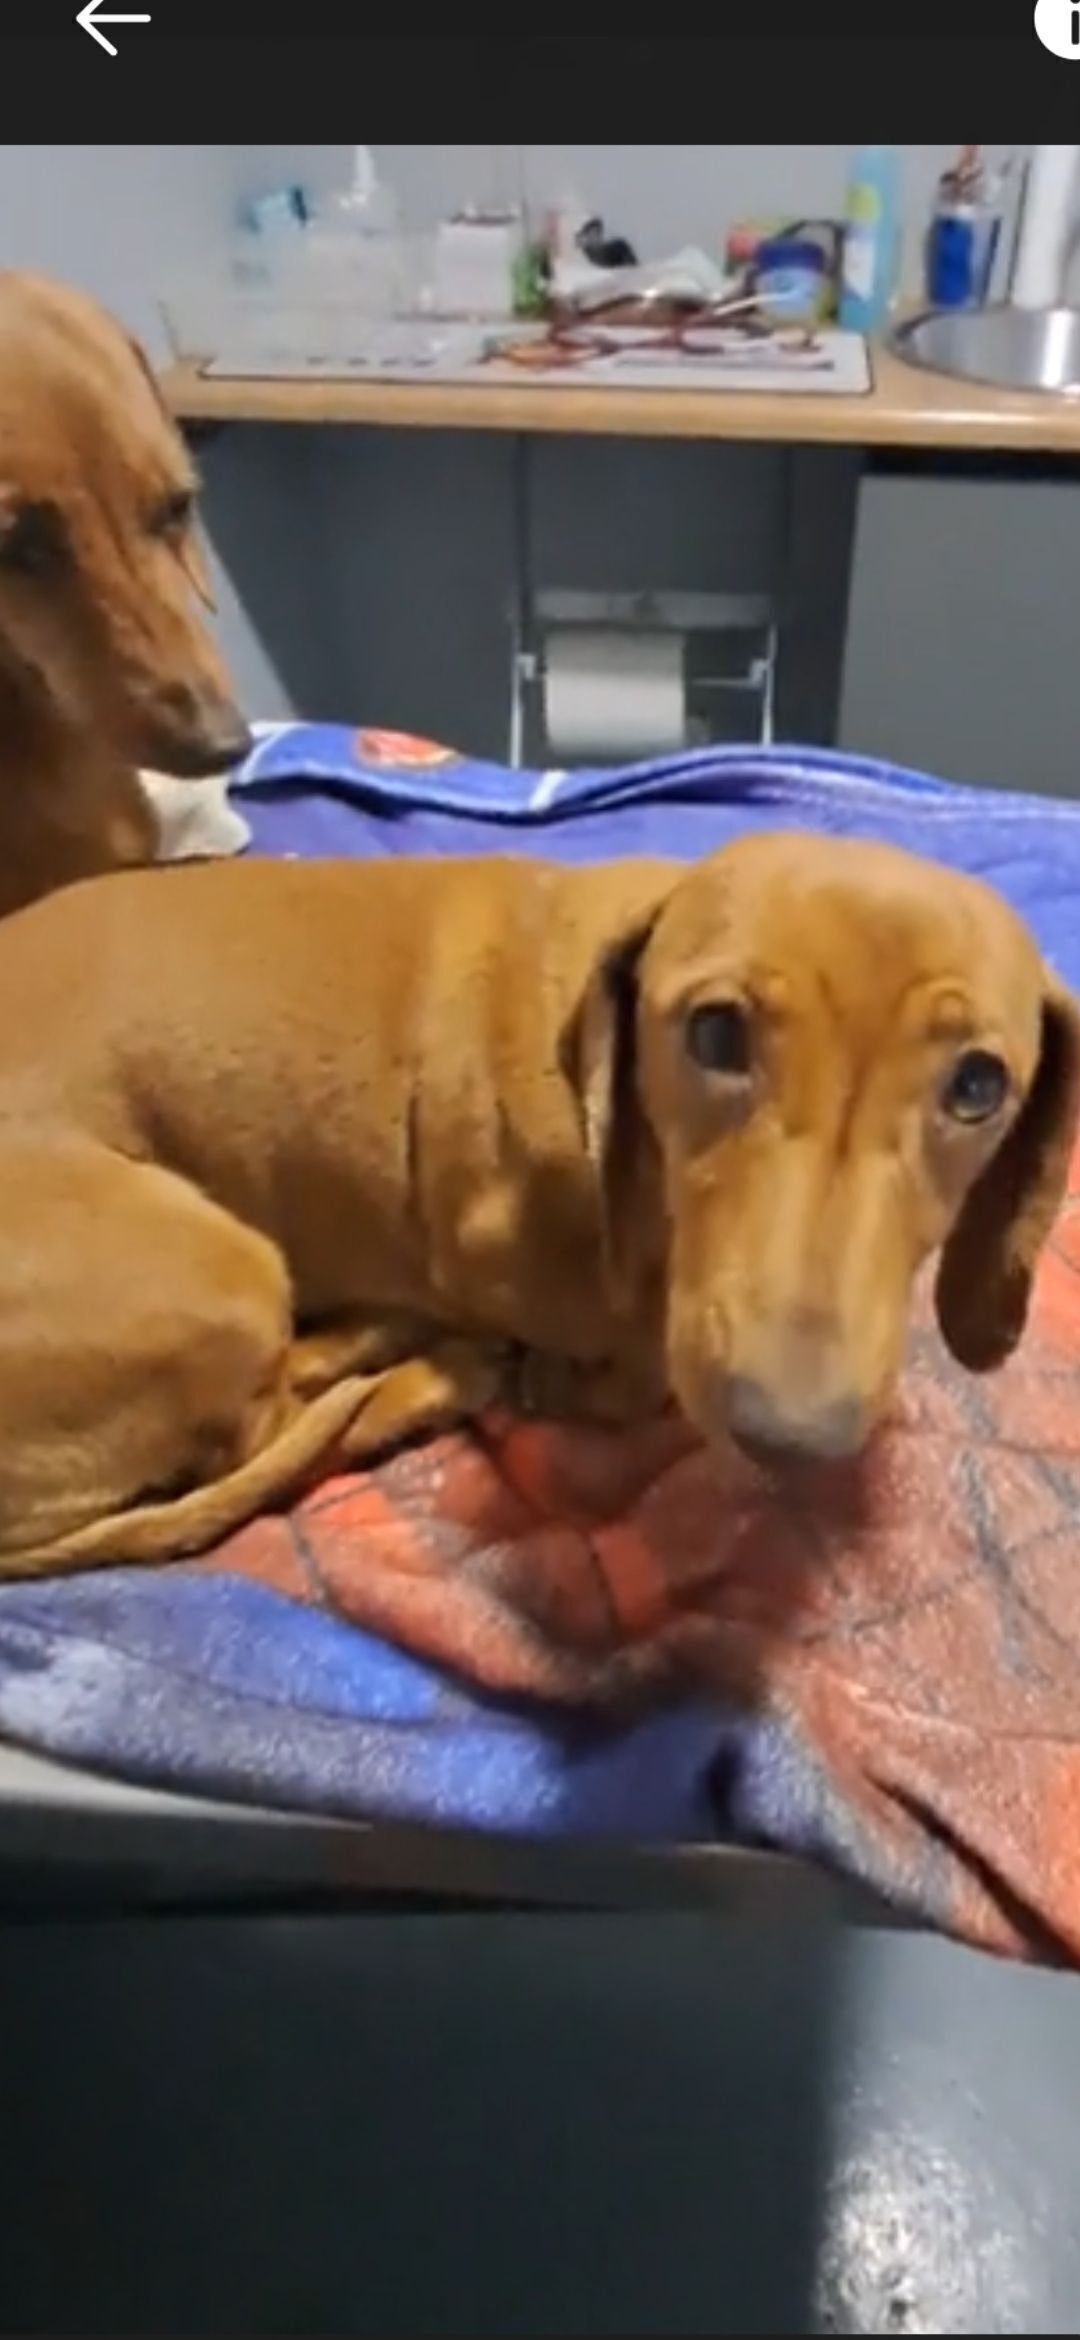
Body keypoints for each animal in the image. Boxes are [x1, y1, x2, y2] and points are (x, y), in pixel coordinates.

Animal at [0, 830, 1074, 1576]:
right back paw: (429, 1372)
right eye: (716, 1031)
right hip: (229, 1270)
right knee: (264, 1433)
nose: (796, 1441)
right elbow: (637, 1376)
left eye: (979, 1085)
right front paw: (558, 1377)